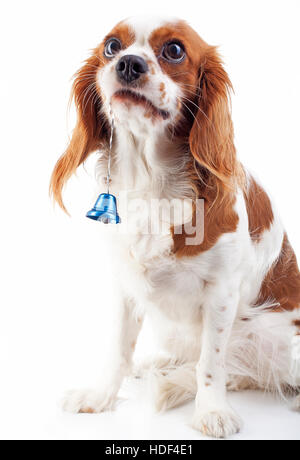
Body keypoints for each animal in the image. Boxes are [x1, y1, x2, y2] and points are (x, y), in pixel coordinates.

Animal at [51, 15, 300, 438]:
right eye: (112, 46)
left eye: (174, 50)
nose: (128, 63)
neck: (153, 180)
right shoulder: (126, 284)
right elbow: (118, 349)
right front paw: (100, 397)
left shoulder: (221, 292)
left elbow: (211, 364)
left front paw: (211, 410)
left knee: (244, 371)